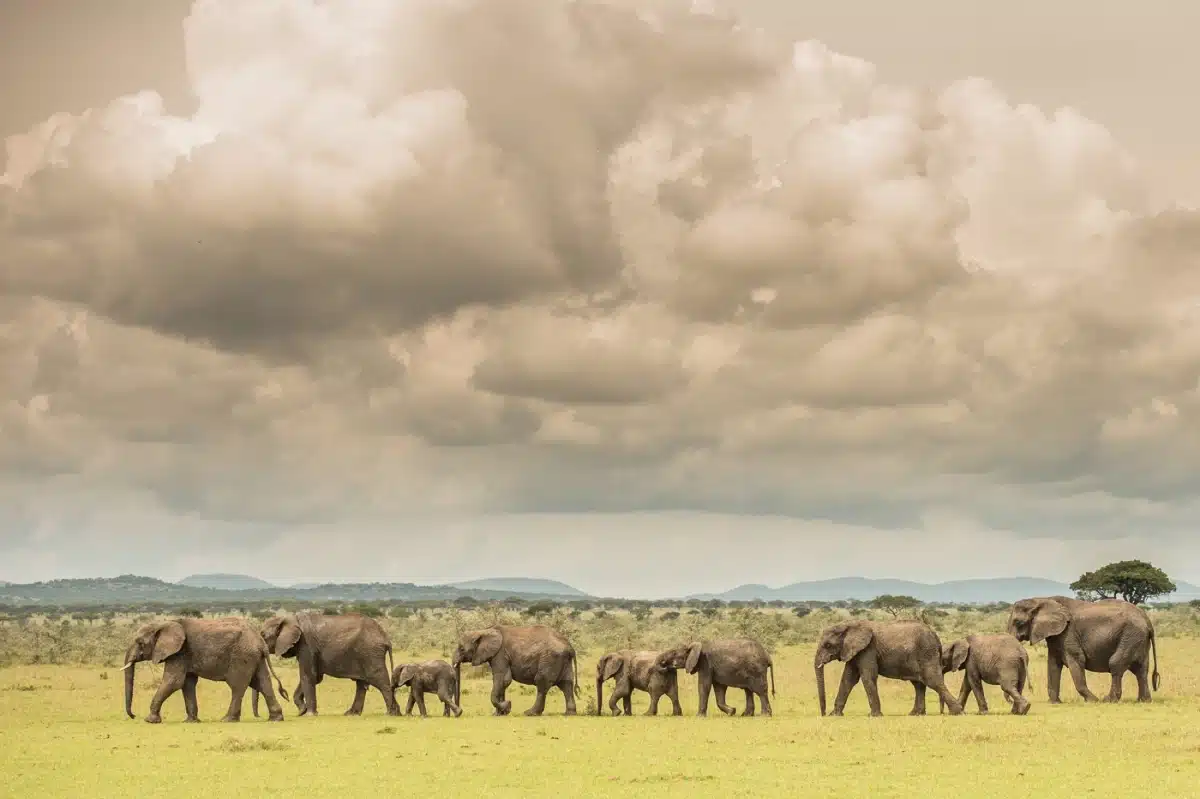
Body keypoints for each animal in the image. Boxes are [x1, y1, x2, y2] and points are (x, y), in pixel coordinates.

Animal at [121, 614, 290, 719]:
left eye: (140, 643)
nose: (133, 715)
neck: (164, 624)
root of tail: (260, 641)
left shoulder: (179, 652)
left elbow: (173, 682)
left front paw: (150, 720)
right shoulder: (184, 655)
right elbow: (187, 683)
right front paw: (191, 720)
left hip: (242, 656)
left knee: (237, 687)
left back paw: (227, 719)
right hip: (255, 657)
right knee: (263, 683)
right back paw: (276, 718)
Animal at [256, 609, 398, 715]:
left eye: (263, 635)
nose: (284, 694)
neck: (290, 618)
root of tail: (386, 638)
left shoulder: (307, 645)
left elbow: (308, 675)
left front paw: (309, 714)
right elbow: (315, 677)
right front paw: (302, 711)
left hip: (370, 652)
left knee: (380, 680)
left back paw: (391, 713)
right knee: (361, 684)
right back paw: (352, 714)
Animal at [811, 614, 960, 715]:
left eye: (828, 645)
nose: (823, 714)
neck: (849, 625)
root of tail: (936, 637)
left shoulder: (868, 649)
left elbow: (867, 677)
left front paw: (874, 716)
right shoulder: (854, 651)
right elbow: (848, 679)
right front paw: (835, 715)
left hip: (926, 652)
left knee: (932, 680)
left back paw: (958, 712)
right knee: (919, 684)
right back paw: (915, 714)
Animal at [1003, 595, 1161, 700]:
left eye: (1018, 622)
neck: (1042, 599)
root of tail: (1147, 620)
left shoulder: (1069, 633)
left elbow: (1076, 661)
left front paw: (1093, 701)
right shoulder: (1056, 636)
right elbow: (1053, 665)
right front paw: (1055, 702)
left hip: (1130, 636)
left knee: (1116, 664)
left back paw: (1108, 700)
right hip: (1137, 639)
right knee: (1141, 669)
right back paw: (1143, 701)